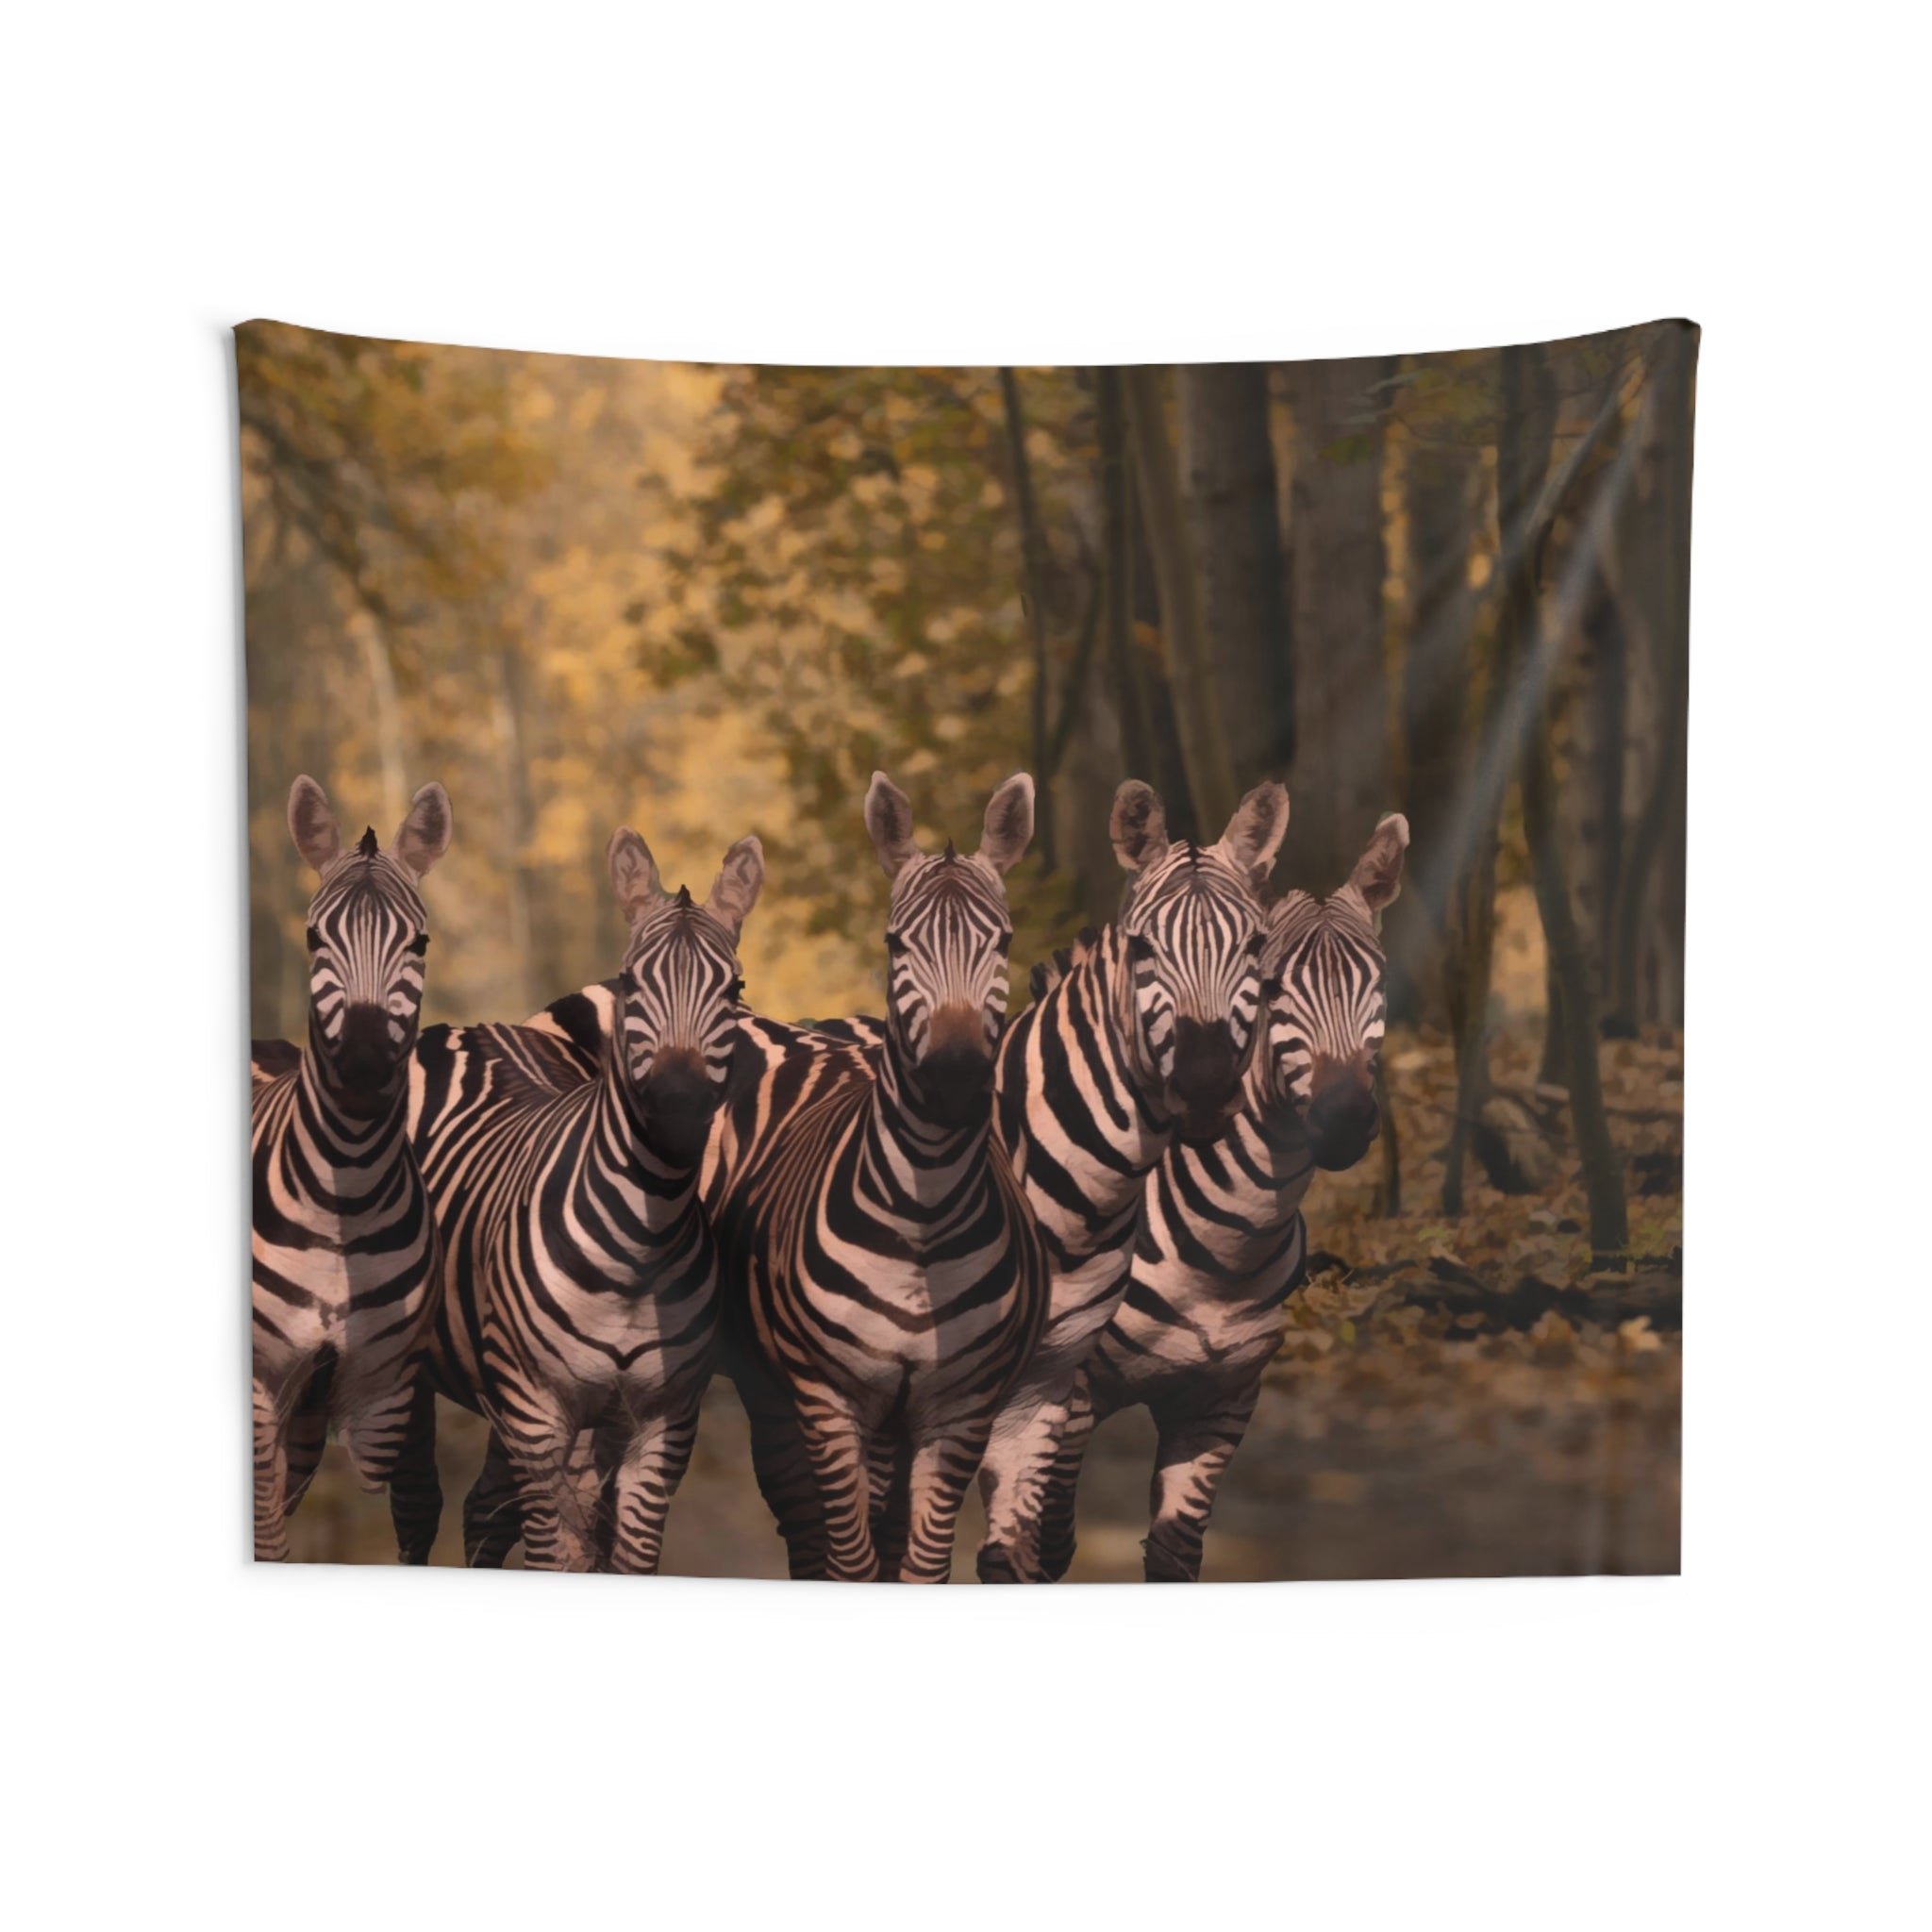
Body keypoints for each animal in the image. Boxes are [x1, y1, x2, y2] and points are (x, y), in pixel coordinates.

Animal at [250, 775, 453, 1563]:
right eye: (314, 938)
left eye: (419, 942)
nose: (364, 1069)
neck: (346, 1198)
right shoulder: (264, 1385)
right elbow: (267, 1536)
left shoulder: (382, 1393)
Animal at [405, 826, 764, 1572]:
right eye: (631, 982)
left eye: (735, 986)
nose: (679, 1104)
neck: (640, 1244)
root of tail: (475, 1028)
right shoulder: (539, 1412)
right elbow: (554, 1554)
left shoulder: (662, 1421)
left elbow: (628, 1557)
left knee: (485, 1511)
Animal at [699, 772, 1048, 1582]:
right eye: (896, 943)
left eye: (1004, 941)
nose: (955, 1077)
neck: (924, 1217)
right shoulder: (829, 1399)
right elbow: (851, 1561)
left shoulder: (961, 1409)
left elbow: (919, 1566)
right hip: (780, 1392)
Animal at [1036, 813, 1409, 1581]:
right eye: (1270, 986)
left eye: (1378, 981)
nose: (1345, 1117)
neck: (1228, 1244)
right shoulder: (1070, 1395)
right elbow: (1044, 1545)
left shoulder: (1221, 1401)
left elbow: (1177, 1551)